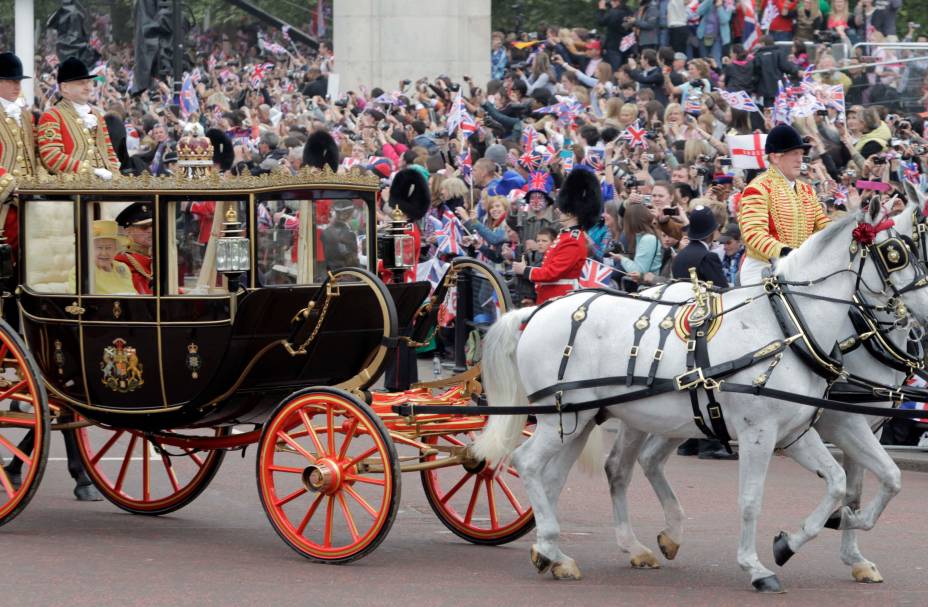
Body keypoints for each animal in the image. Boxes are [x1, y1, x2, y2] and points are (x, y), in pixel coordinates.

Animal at [474, 201, 928, 592]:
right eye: (894, 253)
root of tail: (537, 311)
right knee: (528, 463)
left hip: (587, 419)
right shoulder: (770, 431)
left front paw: (805, 540)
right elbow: (752, 499)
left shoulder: (800, 431)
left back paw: (562, 553)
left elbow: (852, 483)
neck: (789, 328)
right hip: (563, 418)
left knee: (575, 473)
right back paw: (558, 545)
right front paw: (757, 566)